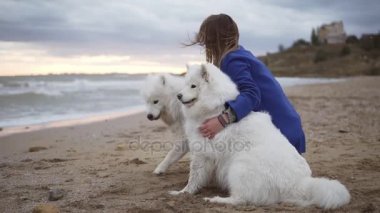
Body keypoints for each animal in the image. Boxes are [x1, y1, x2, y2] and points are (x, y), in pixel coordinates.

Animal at [169, 63, 350, 210]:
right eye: (185, 84)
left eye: (193, 86)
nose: (178, 96)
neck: (214, 108)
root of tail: (298, 184)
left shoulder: (201, 152)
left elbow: (193, 177)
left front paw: (183, 193)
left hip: (239, 167)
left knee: (241, 199)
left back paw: (217, 200)